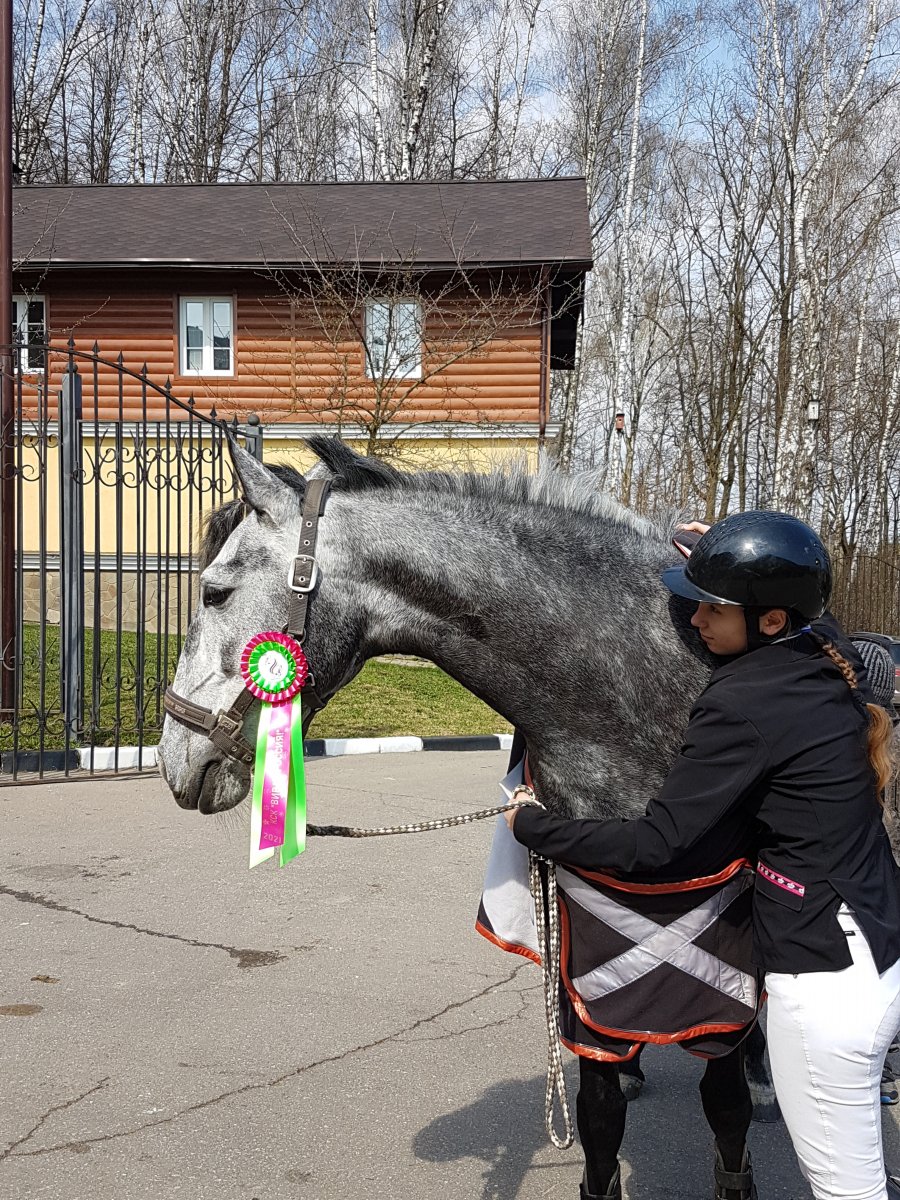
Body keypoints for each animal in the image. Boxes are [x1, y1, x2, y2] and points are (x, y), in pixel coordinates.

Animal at [157, 436, 775, 1199]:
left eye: (215, 590)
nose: (172, 758)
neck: (645, 681)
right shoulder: (590, 935)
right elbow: (599, 1114)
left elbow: (726, 1102)